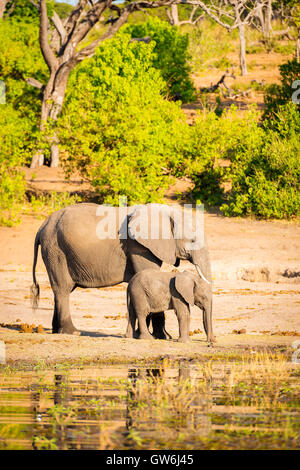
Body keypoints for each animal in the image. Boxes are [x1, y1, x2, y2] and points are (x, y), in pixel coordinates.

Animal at [31, 201, 213, 338]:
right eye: (192, 240)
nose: (211, 342)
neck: (168, 213)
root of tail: (42, 226)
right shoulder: (138, 247)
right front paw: (162, 337)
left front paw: (146, 335)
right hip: (56, 251)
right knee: (63, 289)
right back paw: (72, 332)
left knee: (60, 290)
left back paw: (57, 331)